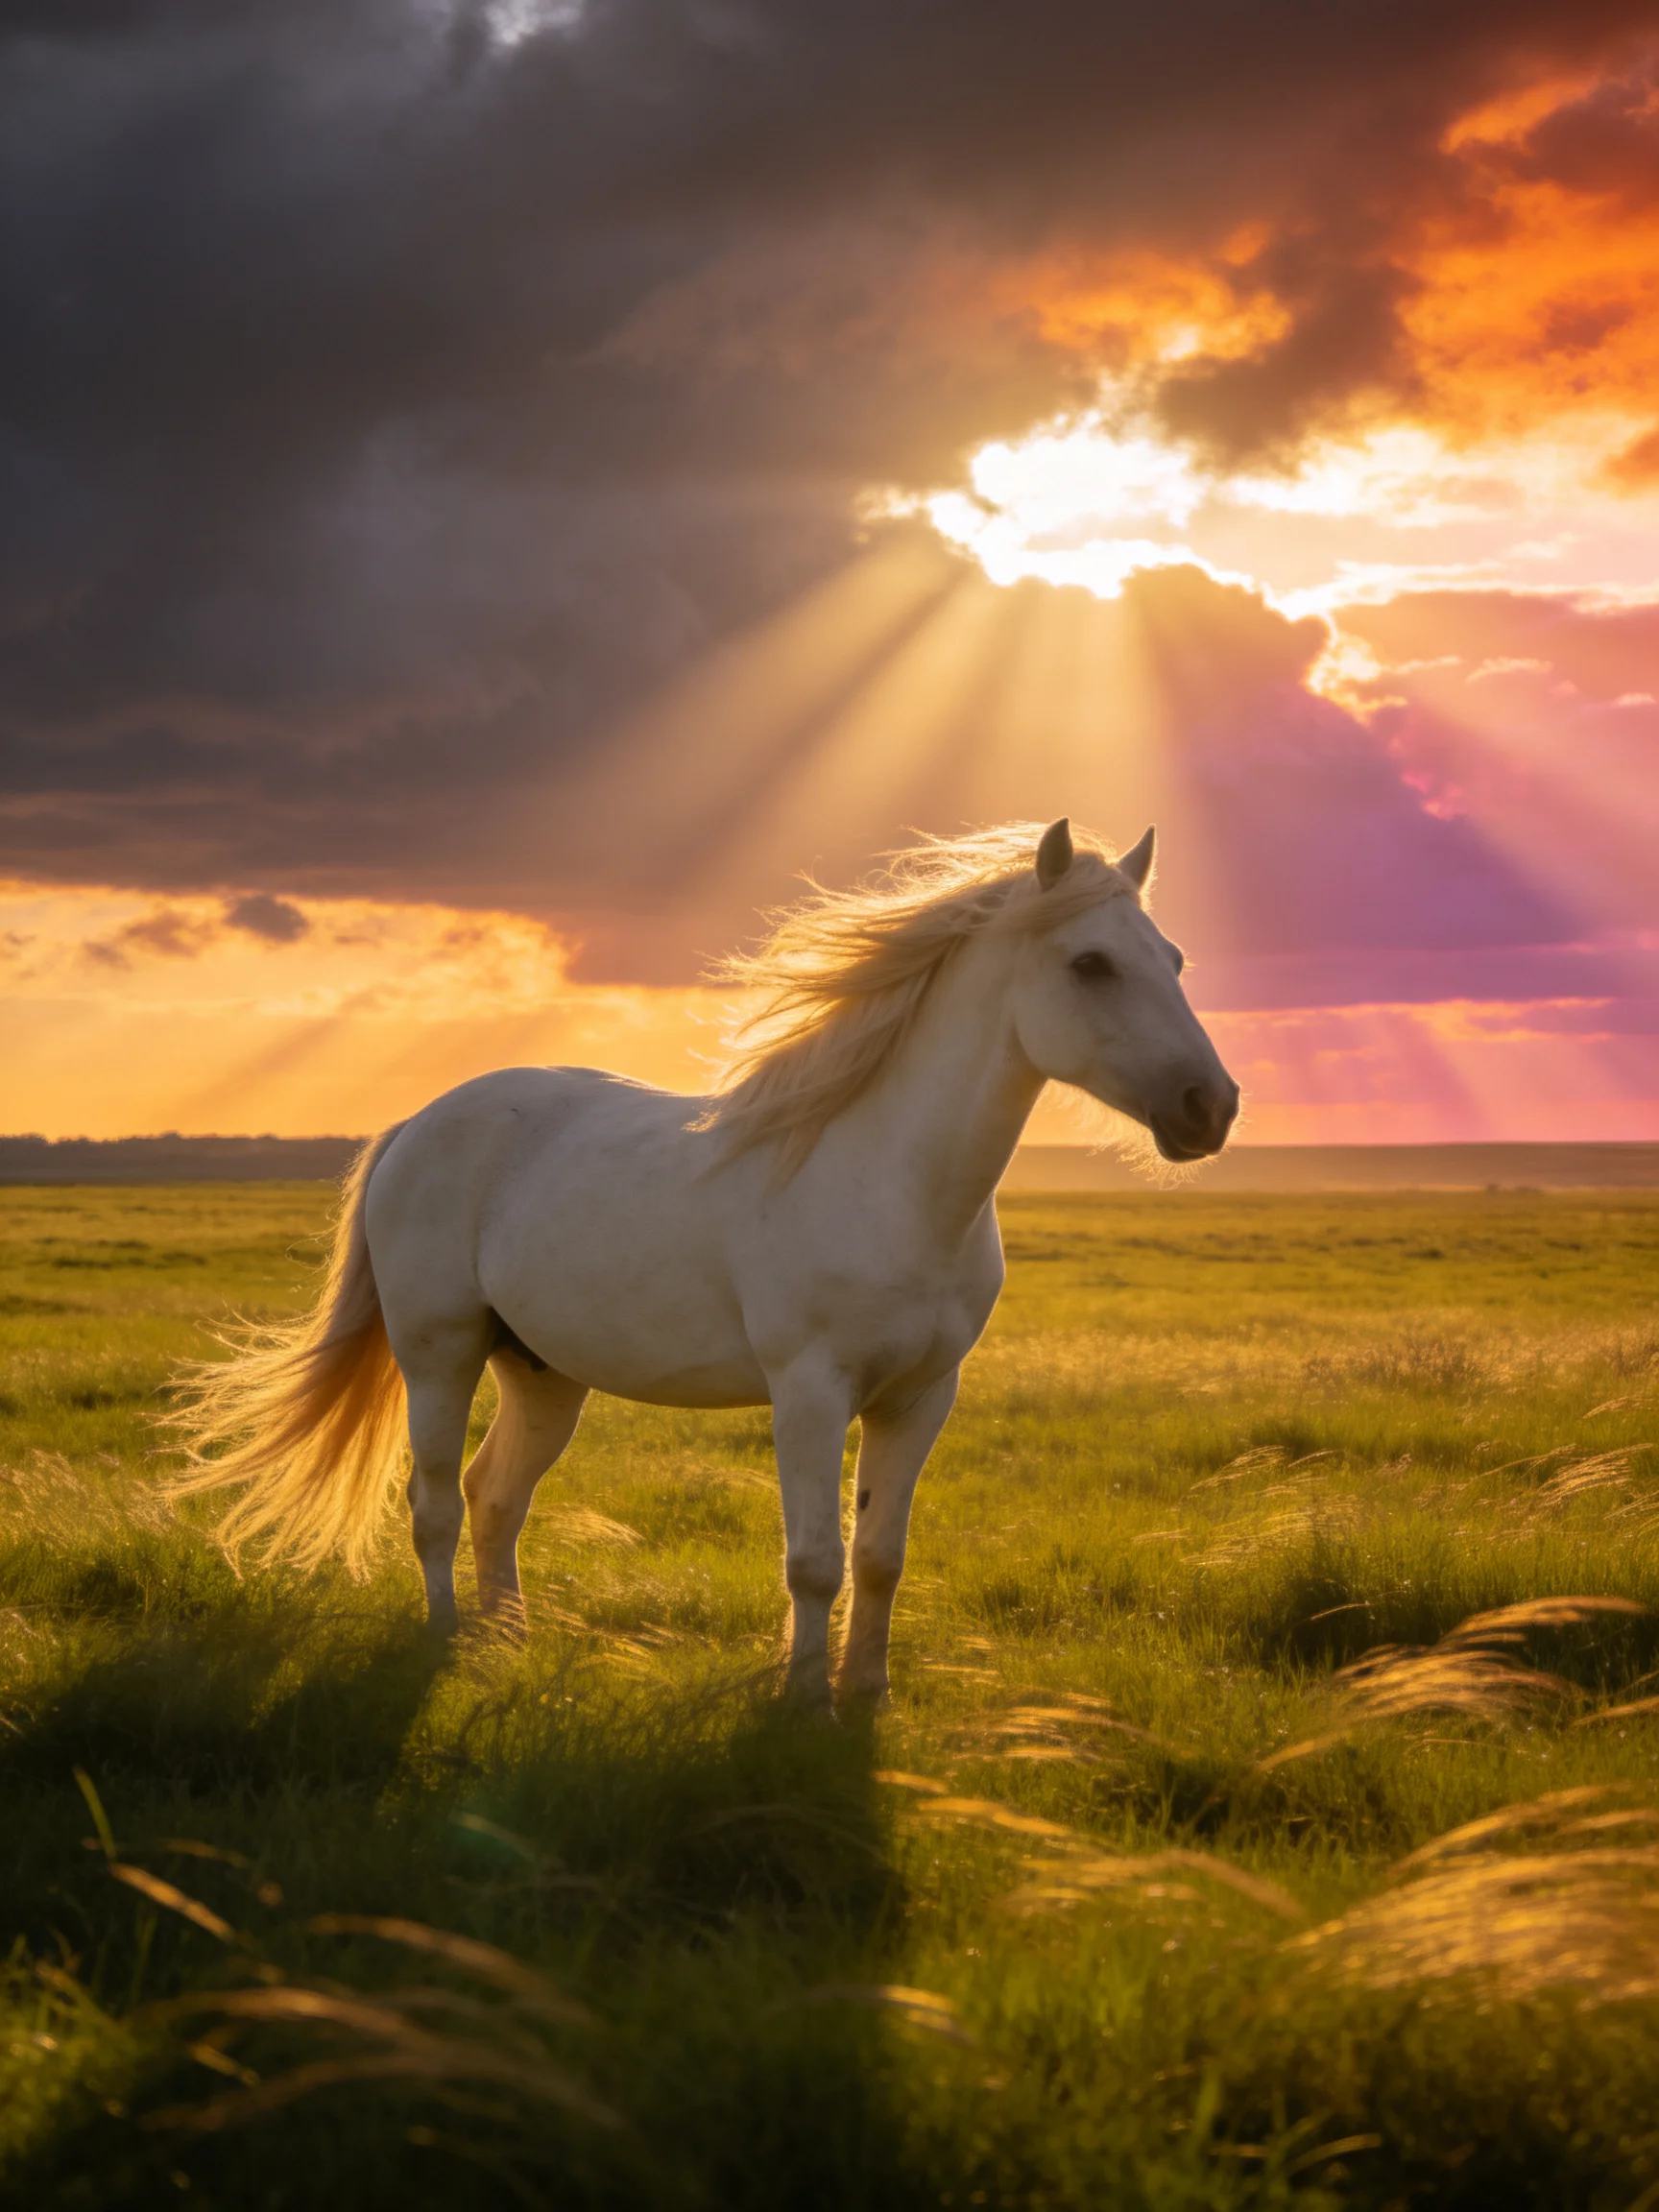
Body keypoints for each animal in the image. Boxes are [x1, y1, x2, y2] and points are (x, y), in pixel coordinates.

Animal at [173, 817, 1238, 1706]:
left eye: (1176, 958)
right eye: (1091, 963)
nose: (1211, 1107)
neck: (891, 1182)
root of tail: (415, 1125)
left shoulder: (921, 1397)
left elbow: (879, 1555)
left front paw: (869, 1696)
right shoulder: (809, 1390)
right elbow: (814, 1559)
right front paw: (803, 1702)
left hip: (543, 1375)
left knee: (495, 1497)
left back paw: (506, 1642)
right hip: (440, 1356)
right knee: (433, 1502)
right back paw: (444, 1640)